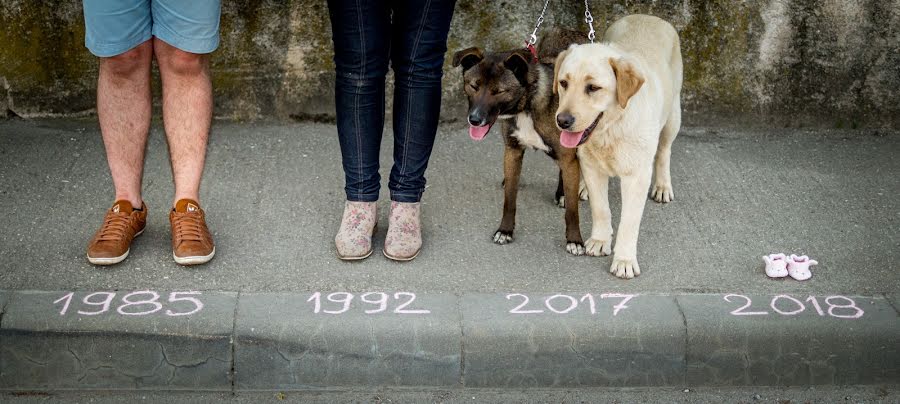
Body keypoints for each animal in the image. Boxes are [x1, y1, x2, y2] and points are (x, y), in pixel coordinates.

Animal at [454, 29, 588, 256]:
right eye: (473, 86)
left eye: (498, 91)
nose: (474, 119)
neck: (527, 104)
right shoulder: (512, 151)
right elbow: (509, 199)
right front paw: (505, 230)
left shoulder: (568, 156)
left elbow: (572, 209)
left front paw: (574, 240)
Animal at [552, 16, 680, 280]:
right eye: (563, 83)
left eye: (593, 88)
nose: (562, 120)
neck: (610, 130)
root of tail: (649, 16)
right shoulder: (592, 167)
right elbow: (601, 209)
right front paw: (601, 240)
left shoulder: (636, 177)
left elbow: (629, 223)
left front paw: (624, 259)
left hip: (674, 115)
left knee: (664, 151)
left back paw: (663, 185)